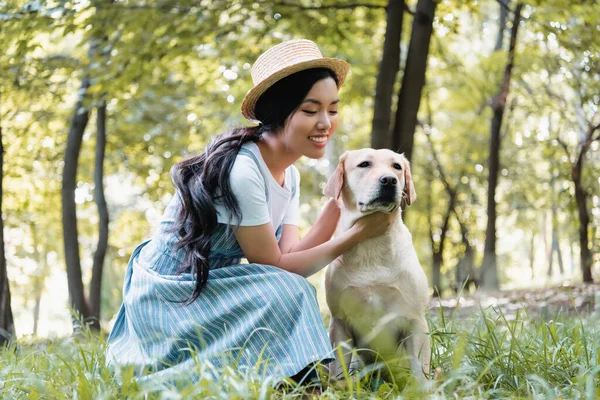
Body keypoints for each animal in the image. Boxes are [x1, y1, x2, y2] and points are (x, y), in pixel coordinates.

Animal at [326, 148, 428, 382]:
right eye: (364, 164)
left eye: (396, 167)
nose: (389, 180)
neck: (372, 245)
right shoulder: (339, 322)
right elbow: (341, 368)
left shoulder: (416, 320)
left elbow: (420, 370)